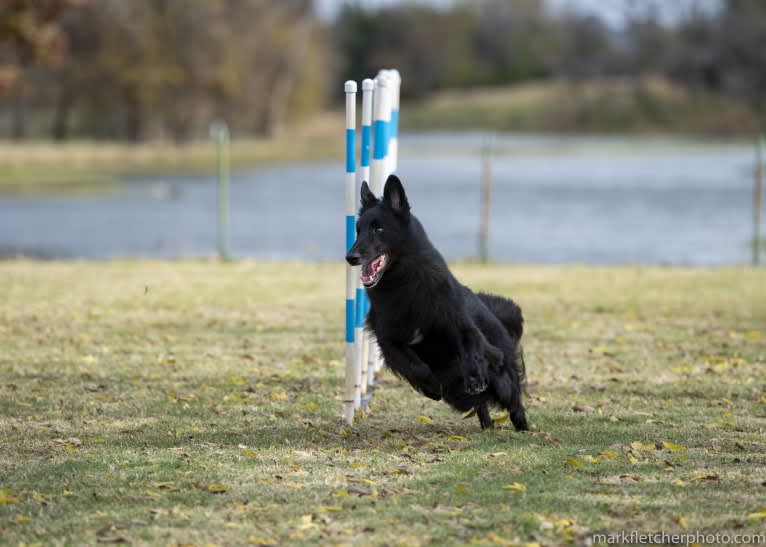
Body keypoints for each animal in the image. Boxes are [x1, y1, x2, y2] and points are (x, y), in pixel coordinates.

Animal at [346, 177, 528, 432]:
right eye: (358, 230)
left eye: (378, 228)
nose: (350, 257)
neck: (404, 283)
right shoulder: (389, 340)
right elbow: (414, 366)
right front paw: (431, 387)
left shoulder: (459, 323)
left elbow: (469, 349)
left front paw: (474, 378)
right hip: (457, 395)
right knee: (480, 403)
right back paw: (486, 424)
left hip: (502, 379)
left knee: (514, 401)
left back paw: (523, 428)